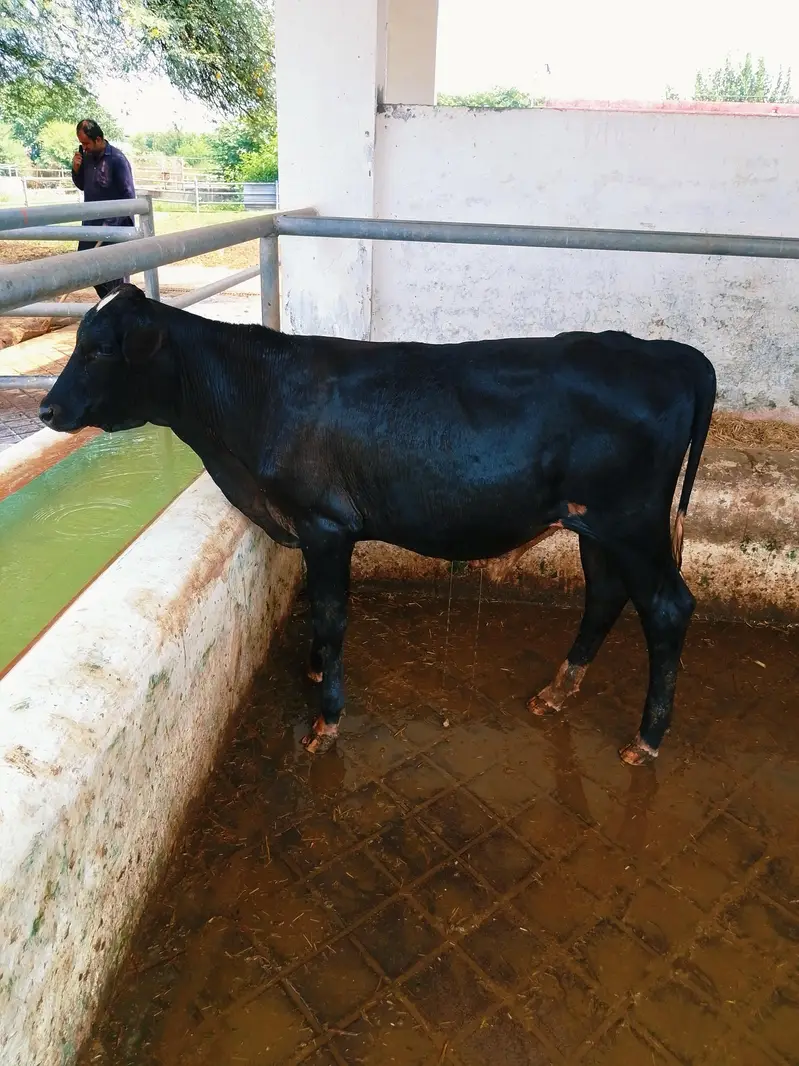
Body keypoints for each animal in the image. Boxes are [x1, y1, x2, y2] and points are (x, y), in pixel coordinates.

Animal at [39, 284, 716, 764]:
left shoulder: (325, 524)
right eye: (78, 339)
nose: (47, 409)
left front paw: (326, 719)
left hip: (632, 521)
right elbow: (320, 613)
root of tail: (669, 353)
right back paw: (557, 691)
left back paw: (646, 739)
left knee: (667, 607)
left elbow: (333, 616)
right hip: (593, 524)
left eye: (99, 348)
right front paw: (314, 669)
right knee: (605, 594)